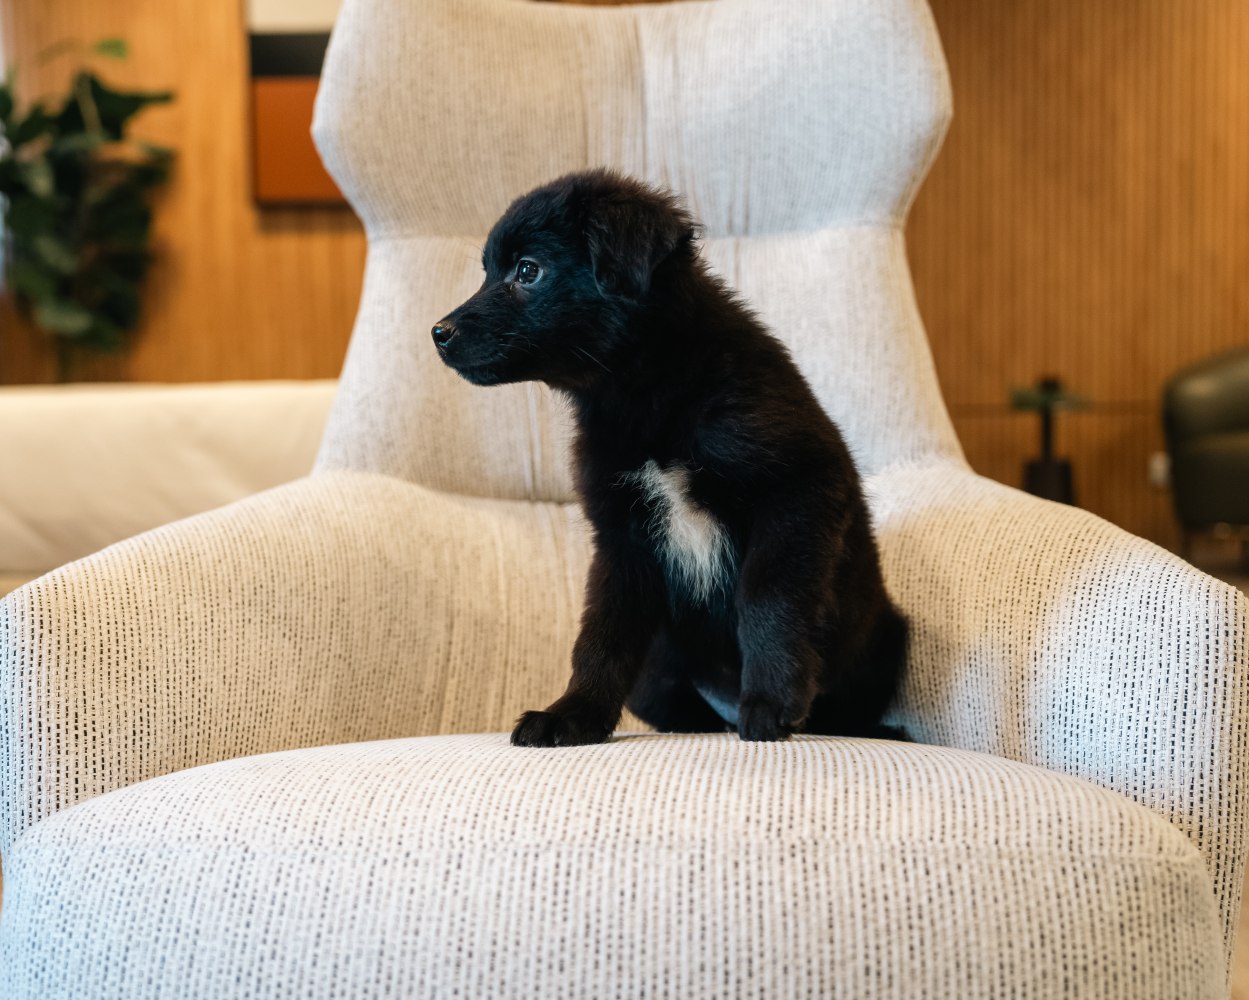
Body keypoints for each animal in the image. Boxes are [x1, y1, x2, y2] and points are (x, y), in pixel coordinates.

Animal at [437, 172, 909, 744]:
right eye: (487, 270)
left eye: (527, 270)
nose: (438, 333)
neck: (647, 393)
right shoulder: (622, 536)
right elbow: (603, 632)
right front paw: (574, 714)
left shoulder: (799, 490)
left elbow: (767, 599)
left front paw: (769, 703)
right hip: (658, 669)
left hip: (884, 639)